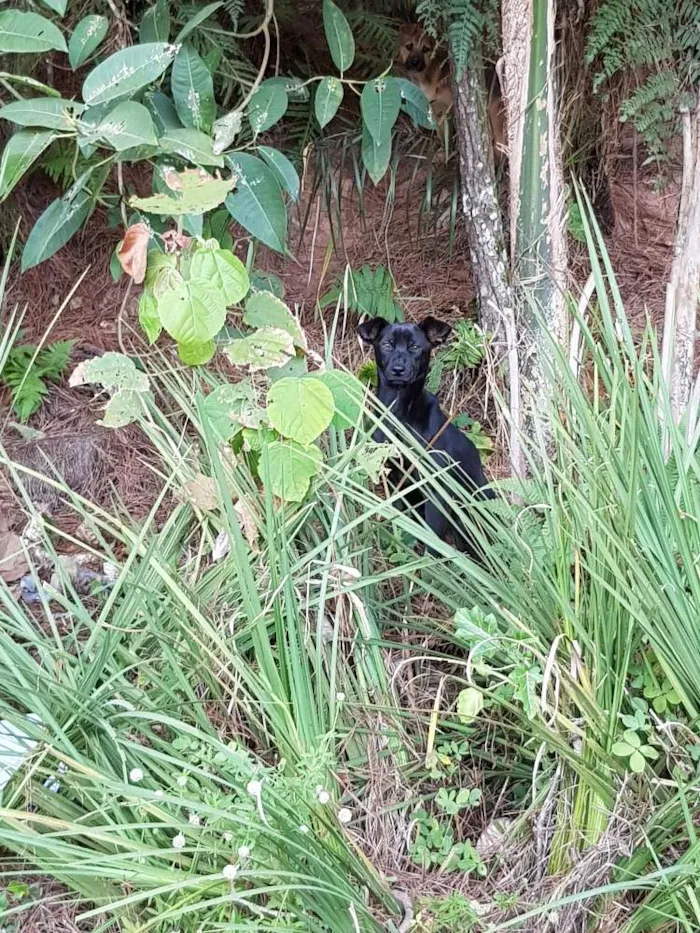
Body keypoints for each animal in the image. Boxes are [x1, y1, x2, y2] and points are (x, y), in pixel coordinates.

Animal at [358, 314, 494, 548]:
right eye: (387, 345)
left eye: (414, 347)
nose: (398, 369)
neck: (399, 413)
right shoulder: (395, 480)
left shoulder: (436, 490)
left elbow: (433, 541)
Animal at [396, 24, 506, 158]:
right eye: (409, 46)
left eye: (426, 49)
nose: (415, 62)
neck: (428, 75)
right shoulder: (435, 109)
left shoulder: (445, 110)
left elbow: (445, 135)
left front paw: (445, 154)